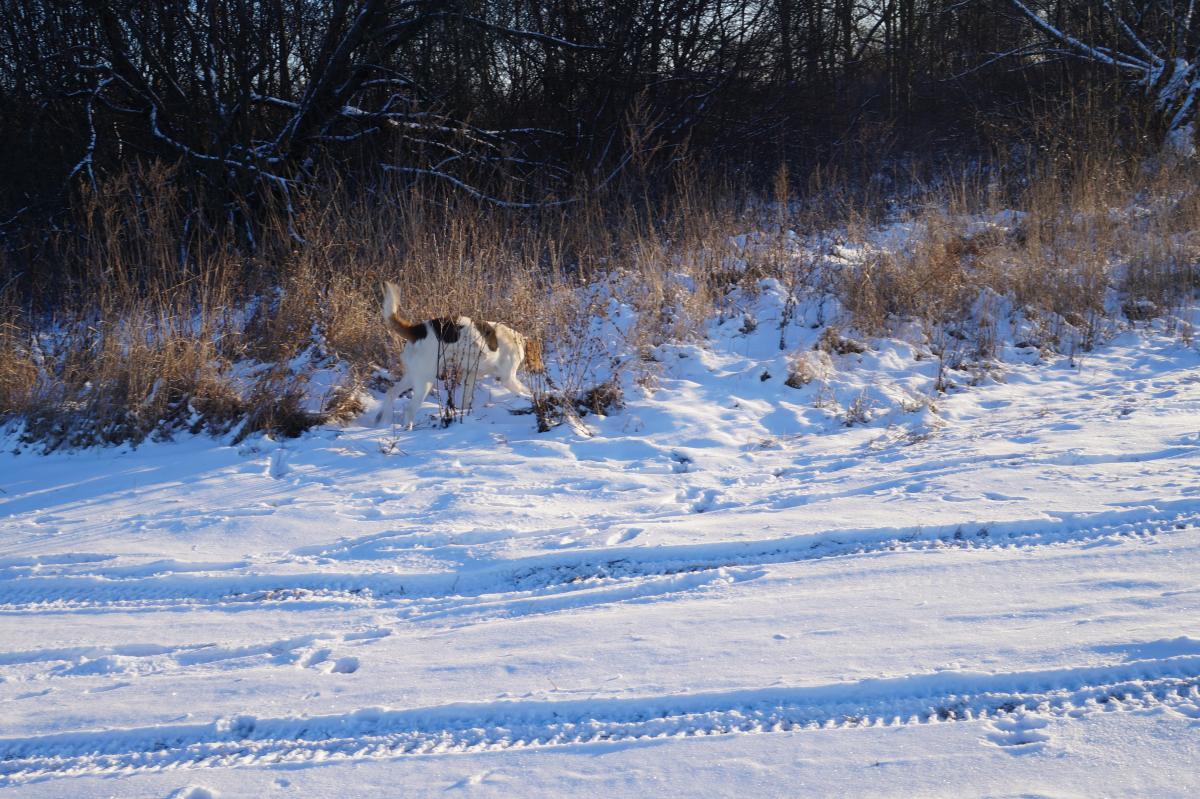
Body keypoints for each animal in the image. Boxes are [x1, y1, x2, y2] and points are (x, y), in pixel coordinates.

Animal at [374, 281, 544, 429]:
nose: (542, 370)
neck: (518, 342)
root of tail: (417, 330)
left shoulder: (470, 375)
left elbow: (465, 399)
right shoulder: (508, 379)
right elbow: (526, 391)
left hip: (413, 375)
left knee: (390, 393)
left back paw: (383, 422)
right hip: (425, 380)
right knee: (409, 410)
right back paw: (407, 429)